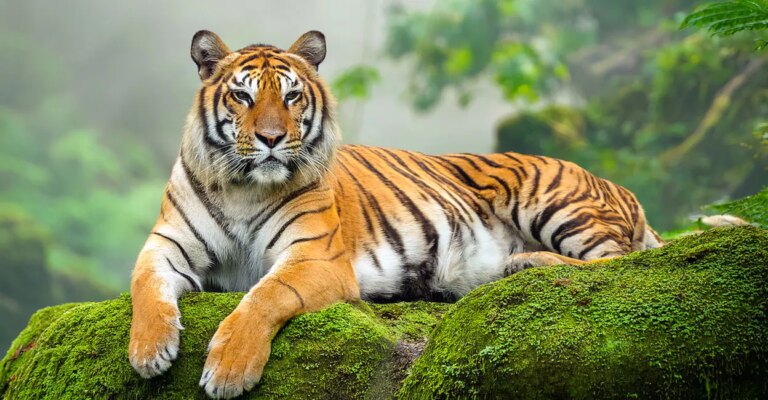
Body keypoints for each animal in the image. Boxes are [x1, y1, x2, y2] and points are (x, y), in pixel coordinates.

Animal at [128, 30, 664, 399]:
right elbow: (145, 286)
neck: (244, 189)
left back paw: (526, 263)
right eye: (242, 96)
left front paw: (229, 370)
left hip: (552, 202)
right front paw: (149, 352)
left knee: (620, 264)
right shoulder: (167, 246)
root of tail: (617, 187)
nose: (272, 139)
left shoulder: (314, 258)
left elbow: (264, 296)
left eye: (291, 96)